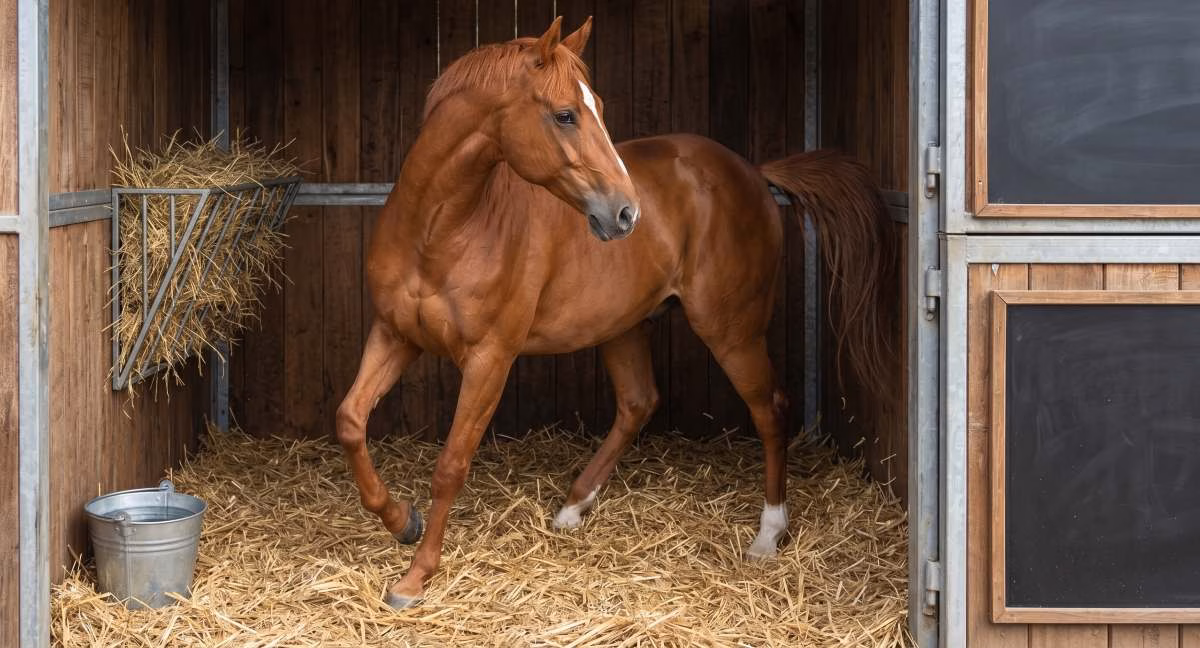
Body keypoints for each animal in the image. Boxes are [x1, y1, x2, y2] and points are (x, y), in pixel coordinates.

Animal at [336, 16, 897, 608]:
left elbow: (450, 464)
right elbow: (350, 422)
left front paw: (415, 576)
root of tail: (751, 170)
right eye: (565, 114)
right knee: (638, 403)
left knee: (769, 409)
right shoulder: (395, 335)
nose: (627, 212)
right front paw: (402, 521)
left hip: (732, 331)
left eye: (597, 107)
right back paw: (573, 507)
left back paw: (768, 535)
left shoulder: (490, 360)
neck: (442, 230)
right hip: (623, 327)